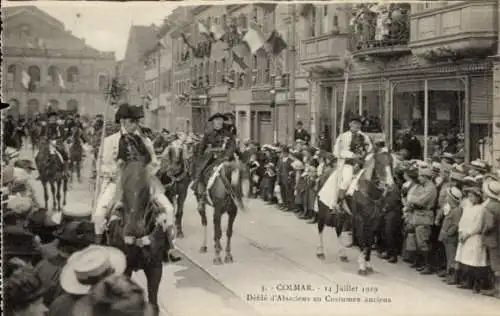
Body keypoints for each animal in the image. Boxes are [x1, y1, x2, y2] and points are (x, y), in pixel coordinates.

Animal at [105, 162, 164, 310]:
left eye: (146, 190)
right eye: (123, 192)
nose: (133, 230)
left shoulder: (155, 267)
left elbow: (153, 303)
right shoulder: (125, 268)